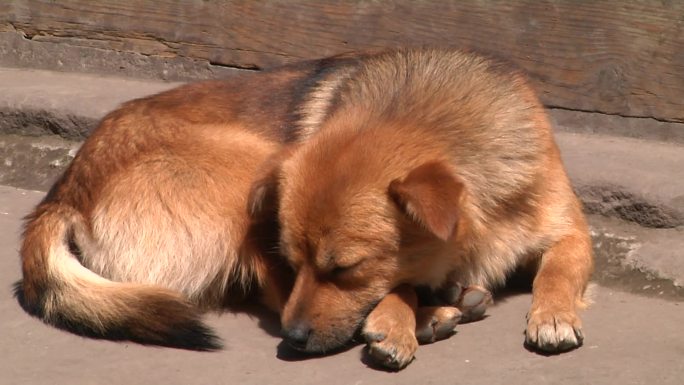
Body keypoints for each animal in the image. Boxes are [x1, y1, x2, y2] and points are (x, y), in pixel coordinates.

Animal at [18, 48, 592, 368]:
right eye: (299, 263)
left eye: (345, 269)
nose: (292, 341)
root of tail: (63, 191)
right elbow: (396, 283)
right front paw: (399, 318)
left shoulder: (571, 231)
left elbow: (559, 269)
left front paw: (553, 315)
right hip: (247, 174)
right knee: (268, 290)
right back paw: (435, 314)